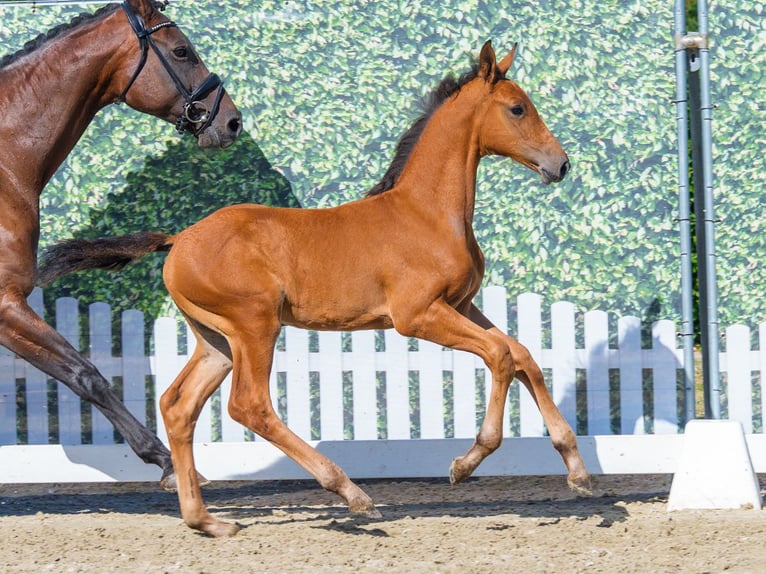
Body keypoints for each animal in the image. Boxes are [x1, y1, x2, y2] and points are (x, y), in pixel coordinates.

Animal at [0, 0, 242, 490]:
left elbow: (78, 374)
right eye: (182, 50)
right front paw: (168, 464)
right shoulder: (6, 302)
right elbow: (87, 374)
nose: (231, 121)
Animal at [39, 41, 591, 536]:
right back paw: (350, 492)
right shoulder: (418, 315)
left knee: (179, 406)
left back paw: (207, 521)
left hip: (216, 340)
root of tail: (178, 239)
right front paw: (466, 461)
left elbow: (522, 354)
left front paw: (577, 471)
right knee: (249, 405)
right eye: (517, 108)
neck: (426, 212)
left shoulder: (462, 305)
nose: (561, 164)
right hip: (254, 325)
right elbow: (500, 355)